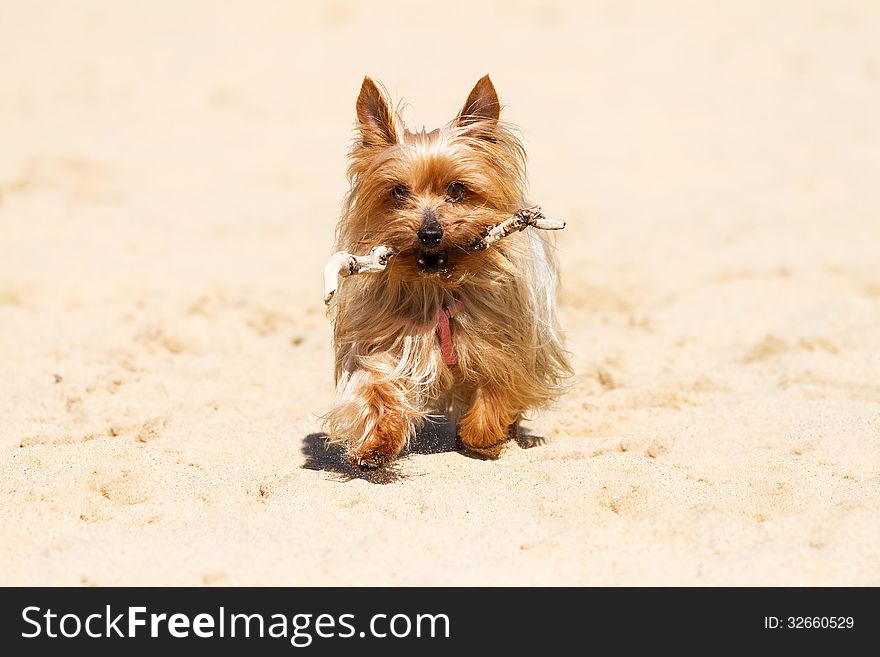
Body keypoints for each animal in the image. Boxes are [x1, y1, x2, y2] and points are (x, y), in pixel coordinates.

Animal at [324, 75, 572, 466]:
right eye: (398, 191)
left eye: (456, 189)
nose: (429, 234)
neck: (437, 288)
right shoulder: (388, 339)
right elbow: (376, 386)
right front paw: (376, 444)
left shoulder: (500, 344)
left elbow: (497, 389)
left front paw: (482, 435)